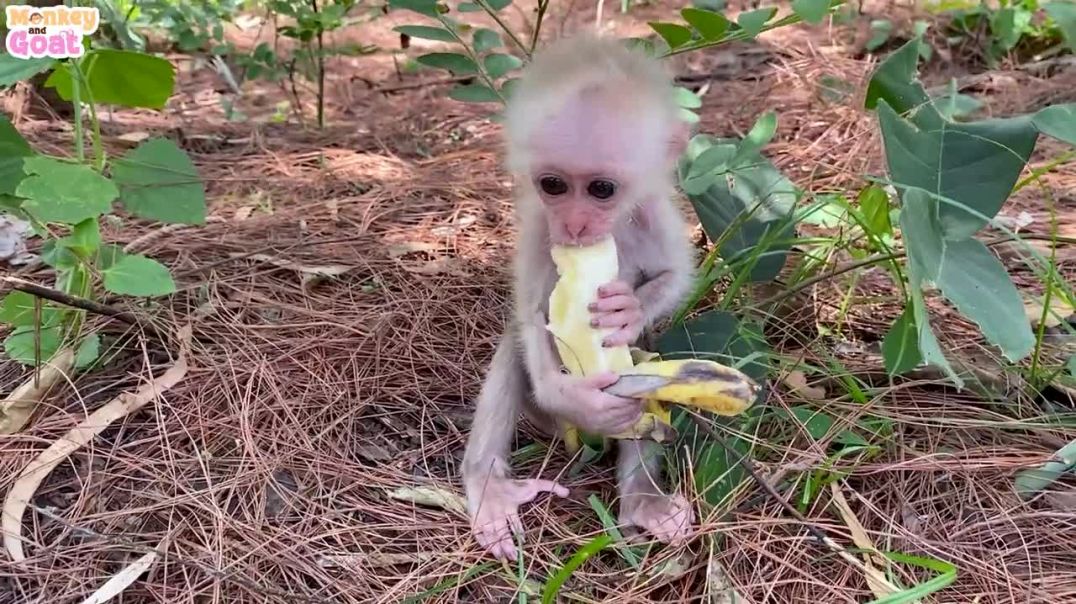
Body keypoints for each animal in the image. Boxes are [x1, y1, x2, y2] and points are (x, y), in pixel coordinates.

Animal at [462, 34, 696, 560]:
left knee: (644, 370)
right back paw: (488, 487)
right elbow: (531, 315)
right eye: (553, 185)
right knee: (515, 354)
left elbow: (676, 275)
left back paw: (642, 500)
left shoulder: (653, 209)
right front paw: (570, 394)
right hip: (546, 421)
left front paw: (628, 310)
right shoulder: (537, 225)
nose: (572, 225)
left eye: (601, 189)